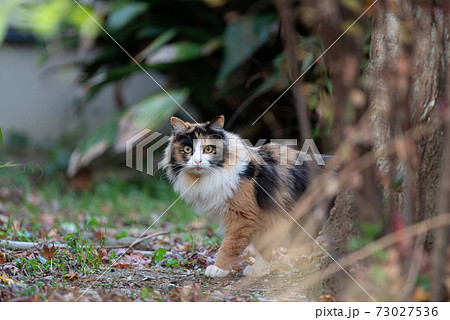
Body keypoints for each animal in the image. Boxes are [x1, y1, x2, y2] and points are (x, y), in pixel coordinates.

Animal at [164, 115, 316, 278]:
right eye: (188, 149)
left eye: (208, 149)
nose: (198, 161)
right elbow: (263, 246)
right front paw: (259, 269)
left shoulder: (245, 217)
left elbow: (229, 246)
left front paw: (218, 268)